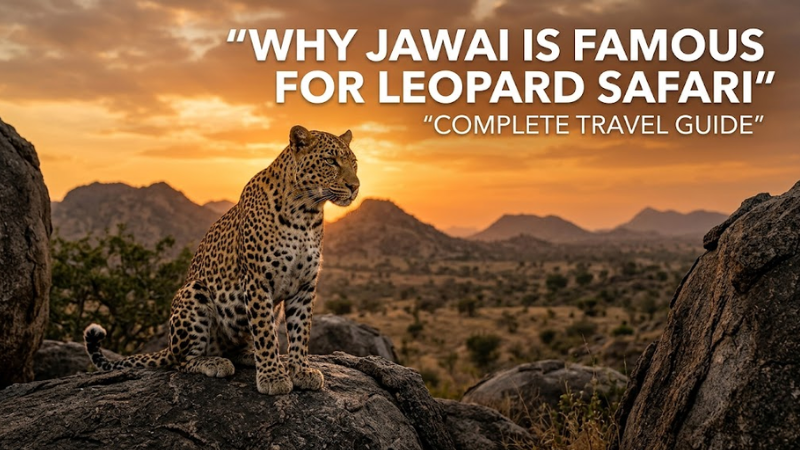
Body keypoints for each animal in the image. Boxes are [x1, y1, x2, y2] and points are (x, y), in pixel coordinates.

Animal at [83, 125, 359, 395]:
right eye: (331, 161)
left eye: (354, 163)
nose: (355, 186)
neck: (306, 214)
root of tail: (169, 347)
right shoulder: (257, 280)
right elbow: (265, 333)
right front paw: (272, 377)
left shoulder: (305, 285)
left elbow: (301, 331)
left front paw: (301, 371)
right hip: (193, 292)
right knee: (181, 362)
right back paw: (215, 363)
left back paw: (248, 355)